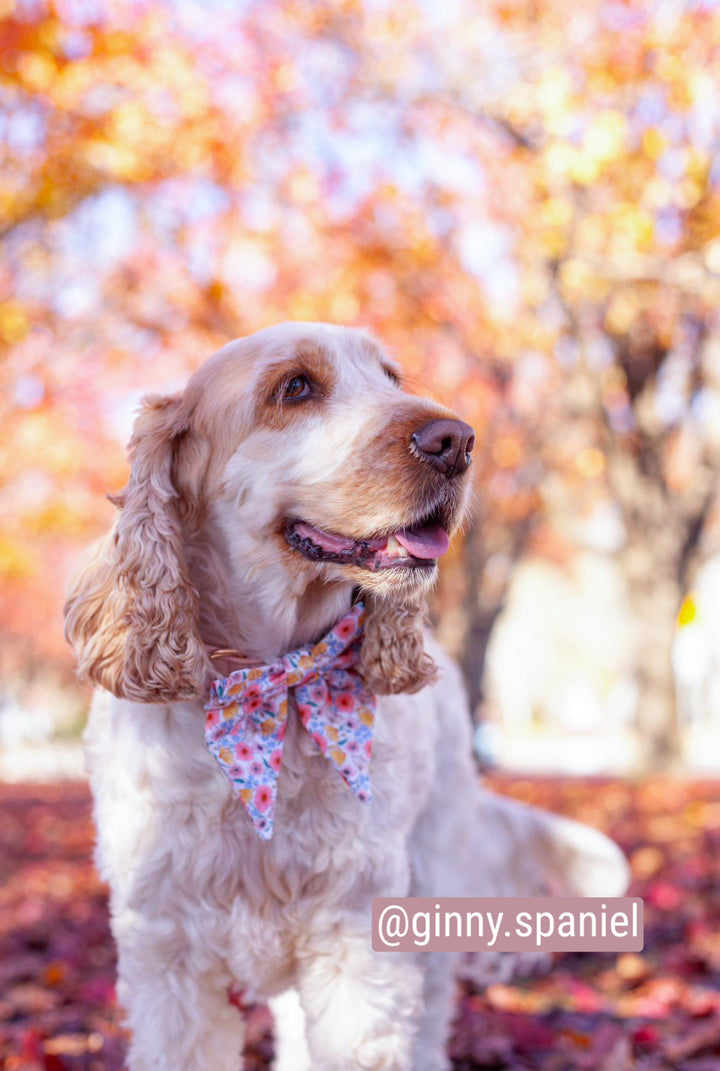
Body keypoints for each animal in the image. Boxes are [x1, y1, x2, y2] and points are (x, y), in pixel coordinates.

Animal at [67, 323, 630, 1071]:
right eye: (295, 387)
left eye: (391, 377)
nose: (457, 439)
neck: (275, 683)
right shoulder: (167, 952)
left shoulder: (357, 938)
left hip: (431, 877)